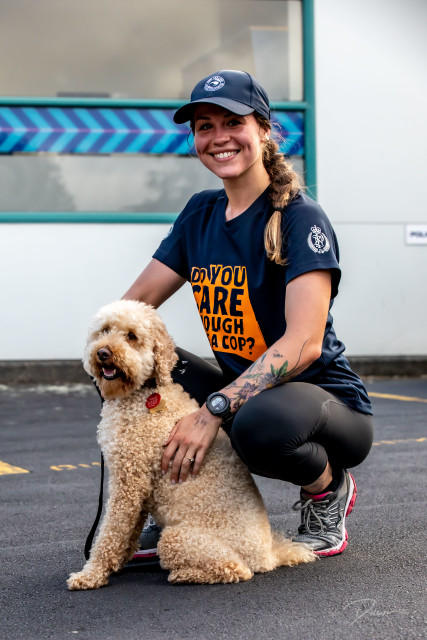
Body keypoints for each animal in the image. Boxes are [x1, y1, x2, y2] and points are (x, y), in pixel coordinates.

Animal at [67, 300, 315, 589]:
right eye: (105, 330)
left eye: (132, 336)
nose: (103, 353)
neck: (143, 392)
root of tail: (269, 555)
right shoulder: (140, 487)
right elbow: (128, 531)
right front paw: (117, 563)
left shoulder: (129, 482)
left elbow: (111, 532)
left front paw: (91, 573)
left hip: (180, 539)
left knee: (237, 569)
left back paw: (184, 574)